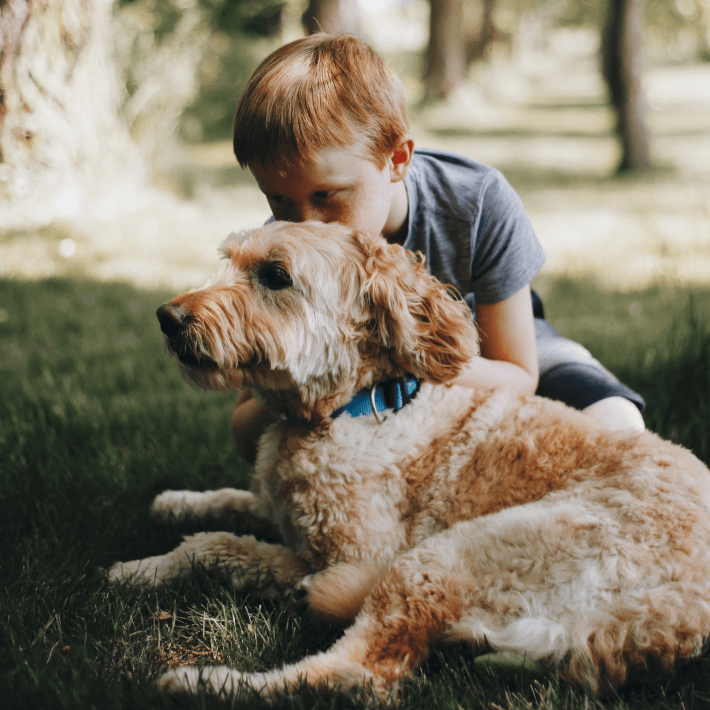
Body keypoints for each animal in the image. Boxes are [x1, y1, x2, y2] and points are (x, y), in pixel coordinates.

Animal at [108, 221, 710, 700]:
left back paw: (207, 683)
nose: (167, 317)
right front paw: (175, 505)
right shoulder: (280, 508)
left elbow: (220, 545)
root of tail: (681, 615)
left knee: (359, 675)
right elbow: (230, 507)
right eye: (230, 261)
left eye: (276, 275)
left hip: (447, 557)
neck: (354, 405)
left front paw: (141, 568)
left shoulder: (356, 556)